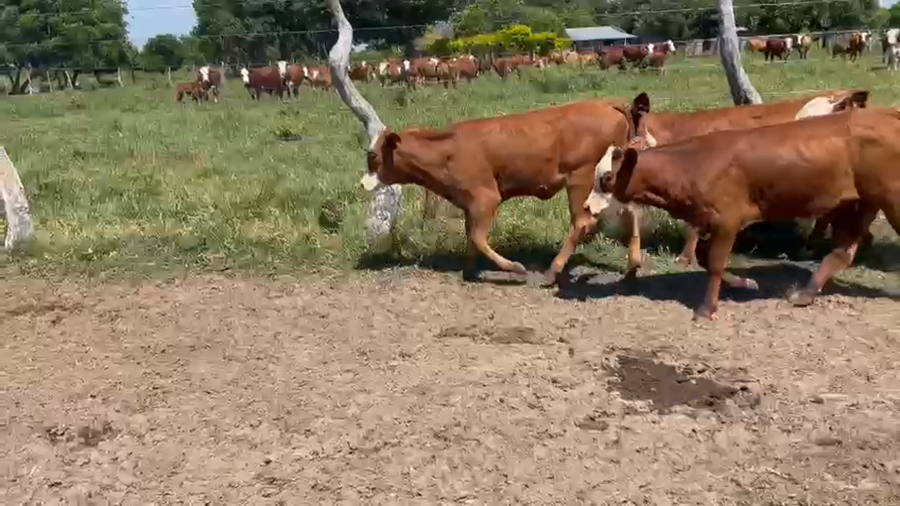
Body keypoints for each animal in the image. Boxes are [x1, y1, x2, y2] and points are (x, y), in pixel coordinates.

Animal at [359, 99, 644, 286]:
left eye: (372, 156)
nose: (362, 184)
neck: (448, 150)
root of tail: (606, 104)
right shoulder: (470, 203)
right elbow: (471, 236)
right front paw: (468, 271)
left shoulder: (485, 198)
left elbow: (477, 237)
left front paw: (514, 268)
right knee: (631, 212)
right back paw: (632, 265)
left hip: (581, 179)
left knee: (581, 223)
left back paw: (552, 272)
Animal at [596, 107, 900, 320]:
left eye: (608, 176)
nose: (591, 206)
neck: (692, 164)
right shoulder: (708, 221)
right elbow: (705, 258)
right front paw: (746, 283)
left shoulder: (727, 221)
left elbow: (715, 263)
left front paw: (706, 309)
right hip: (854, 204)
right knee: (842, 253)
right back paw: (805, 293)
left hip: (891, 201)